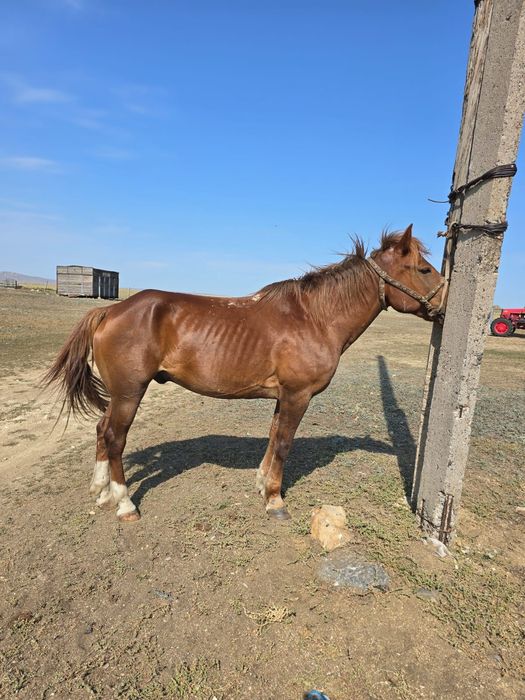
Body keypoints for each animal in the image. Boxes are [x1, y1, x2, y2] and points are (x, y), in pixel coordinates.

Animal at [44, 225, 445, 522]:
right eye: (424, 270)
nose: (444, 307)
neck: (314, 317)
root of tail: (110, 311)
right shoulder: (298, 396)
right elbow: (284, 444)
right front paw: (275, 501)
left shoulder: (284, 397)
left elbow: (273, 438)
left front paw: (262, 485)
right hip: (130, 392)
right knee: (114, 438)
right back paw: (125, 503)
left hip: (119, 393)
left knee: (101, 431)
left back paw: (101, 492)